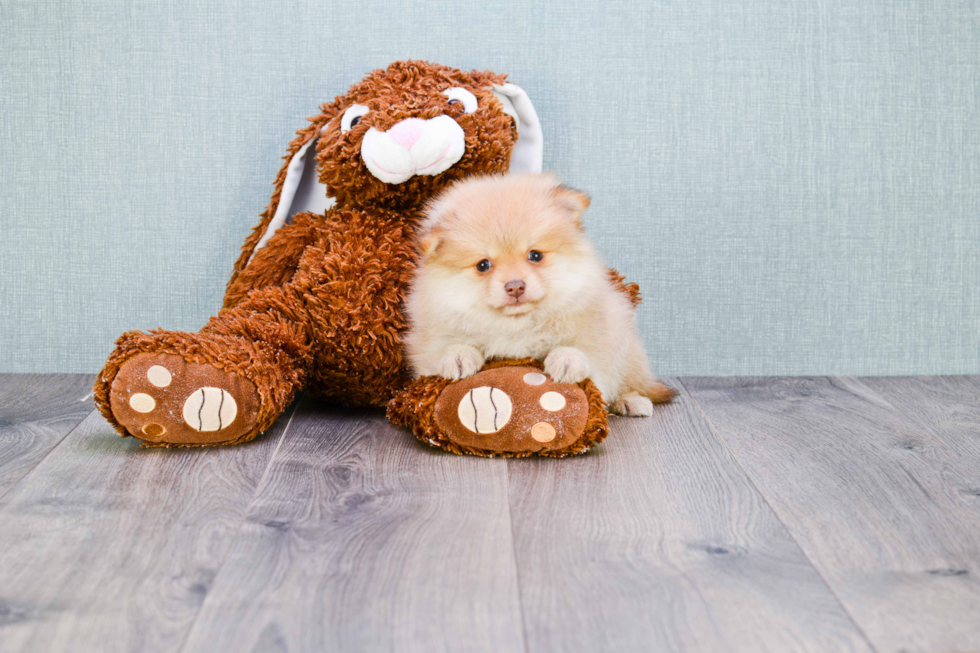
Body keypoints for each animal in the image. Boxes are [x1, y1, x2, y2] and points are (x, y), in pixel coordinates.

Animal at [406, 172, 672, 418]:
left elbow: (587, 354)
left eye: (535, 255)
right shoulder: (428, 342)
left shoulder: (599, 335)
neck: (517, 325)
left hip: (627, 343)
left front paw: (567, 359)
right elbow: (441, 349)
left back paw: (630, 401)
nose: (515, 286)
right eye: (483, 265)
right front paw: (458, 355)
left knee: (632, 381)